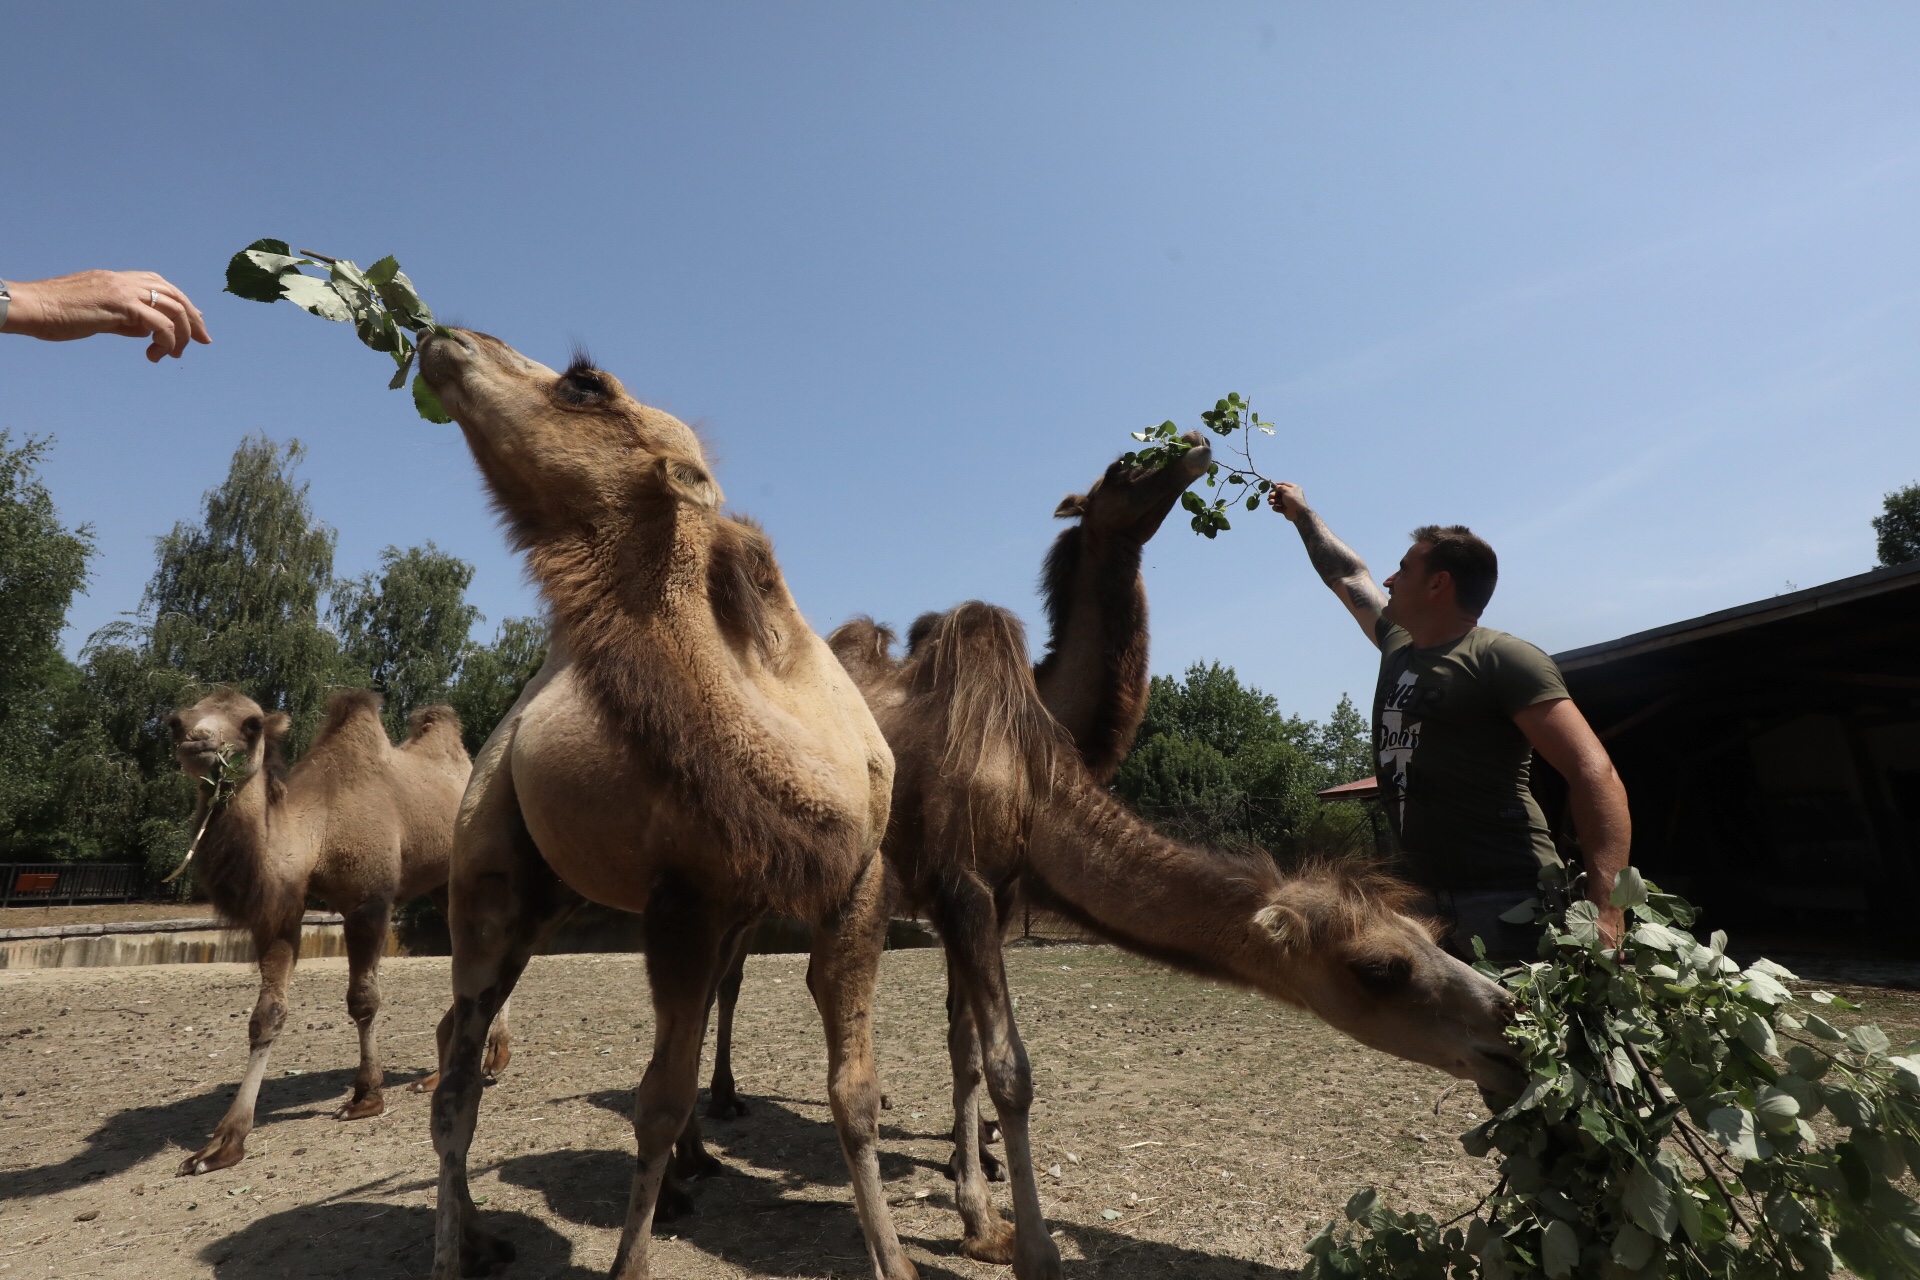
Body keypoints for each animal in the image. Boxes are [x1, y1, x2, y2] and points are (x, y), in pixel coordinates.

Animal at [168, 687, 476, 1174]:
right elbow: (267, 1015)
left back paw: (490, 1062)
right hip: (441, 883)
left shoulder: (368, 900)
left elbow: (363, 1000)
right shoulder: (282, 912)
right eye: (176, 721)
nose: (195, 742)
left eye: (252, 724)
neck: (320, 829)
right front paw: (222, 1144)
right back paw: (438, 1075)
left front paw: (365, 1096)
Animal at [416, 330, 910, 1280]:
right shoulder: (684, 893)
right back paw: (463, 1249)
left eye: (584, 383)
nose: (447, 339)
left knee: (459, 1038)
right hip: (492, 874)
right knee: (458, 1071)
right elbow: (657, 1099)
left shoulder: (858, 880)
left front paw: (895, 1262)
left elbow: (855, 1094)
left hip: (559, 895)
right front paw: (630, 1261)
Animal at [833, 602, 1520, 1280]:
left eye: (1432, 933)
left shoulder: (996, 897)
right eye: (1380, 969)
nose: (1507, 1025)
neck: (1029, 785)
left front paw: (980, 1225)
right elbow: (1009, 1070)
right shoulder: (962, 886)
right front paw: (1034, 1252)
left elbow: (969, 1052)